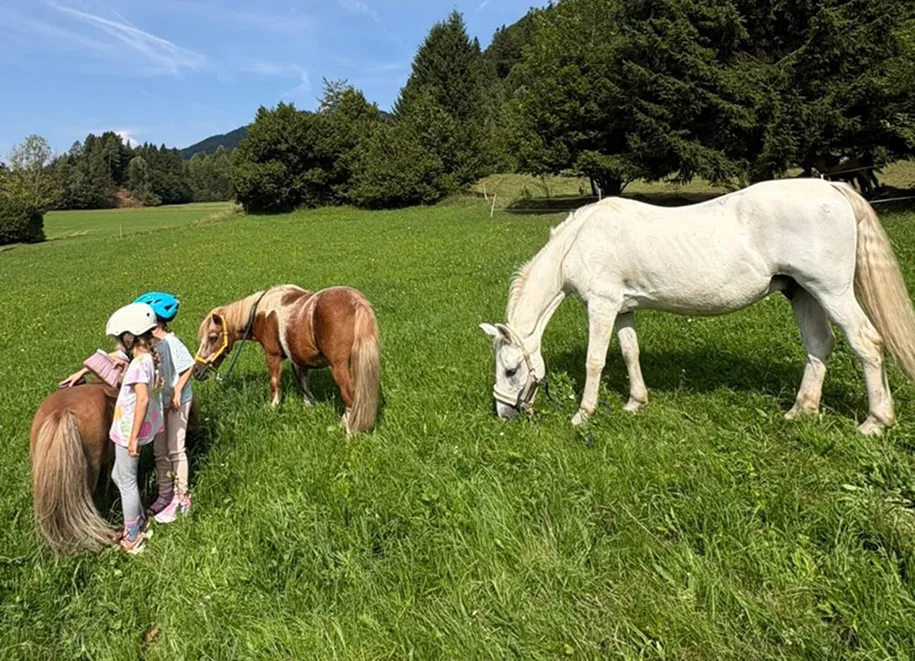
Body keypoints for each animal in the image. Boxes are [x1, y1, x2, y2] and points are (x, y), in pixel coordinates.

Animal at [193, 285, 381, 435]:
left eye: (212, 337)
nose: (196, 371)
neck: (261, 313)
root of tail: (356, 301)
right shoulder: (300, 359)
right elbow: (304, 382)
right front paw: (308, 405)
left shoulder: (272, 355)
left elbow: (275, 383)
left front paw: (273, 407)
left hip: (340, 367)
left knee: (350, 395)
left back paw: (349, 433)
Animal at [480, 178, 915, 436]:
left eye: (511, 369)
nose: (505, 414)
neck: (580, 241)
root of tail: (834, 188)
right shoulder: (623, 308)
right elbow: (630, 351)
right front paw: (635, 402)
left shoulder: (601, 306)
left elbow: (595, 361)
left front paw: (583, 415)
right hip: (802, 292)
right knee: (819, 345)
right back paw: (800, 411)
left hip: (832, 291)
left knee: (866, 343)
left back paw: (875, 422)